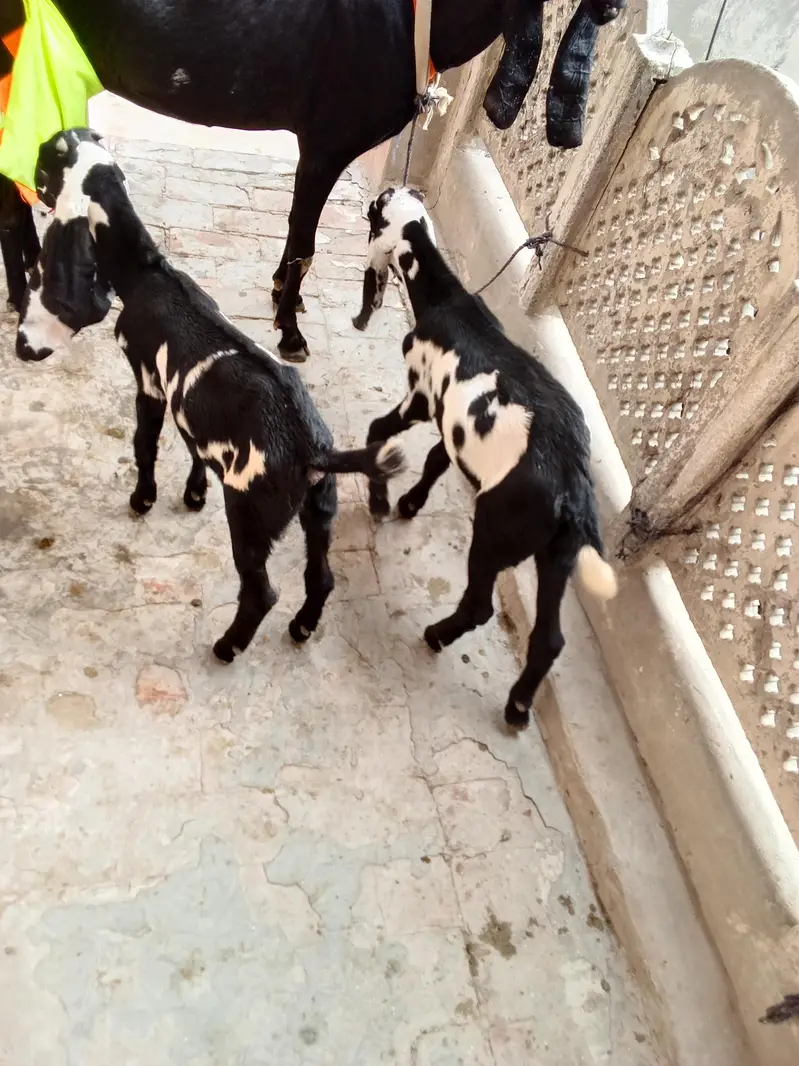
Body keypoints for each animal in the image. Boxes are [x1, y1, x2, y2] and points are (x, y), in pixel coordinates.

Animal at [16, 128, 405, 661]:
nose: (30, 187)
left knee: (262, 591)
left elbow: (146, 445)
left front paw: (143, 498)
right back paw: (303, 627)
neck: (148, 272)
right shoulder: (189, 405)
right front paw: (194, 492)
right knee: (321, 577)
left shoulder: (149, 382)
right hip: (319, 512)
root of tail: (314, 451)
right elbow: (192, 446)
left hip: (250, 515)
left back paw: (228, 645)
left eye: (43, 163)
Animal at [353, 187, 617, 729]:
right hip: (557, 557)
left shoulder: (420, 396)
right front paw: (409, 504)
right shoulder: (454, 424)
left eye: (376, 211)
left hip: (496, 533)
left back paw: (436, 635)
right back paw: (517, 707)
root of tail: (572, 495)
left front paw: (381, 500)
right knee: (549, 639)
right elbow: (437, 459)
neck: (448, 301)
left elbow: (381, 432)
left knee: (480, 607)